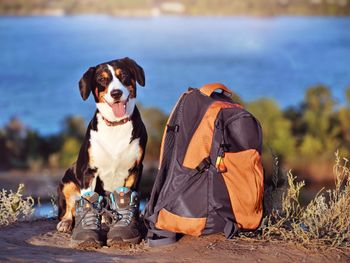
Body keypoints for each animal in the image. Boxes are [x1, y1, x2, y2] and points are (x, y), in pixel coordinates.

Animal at [56, 58, 147, 235]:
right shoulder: (88, 171)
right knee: (69, 207)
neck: (116, 125)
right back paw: (67, 222)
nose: (116, 93)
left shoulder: (135, 168)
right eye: (101, 79)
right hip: (68, 180)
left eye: (123, 74)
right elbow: (88, 199)